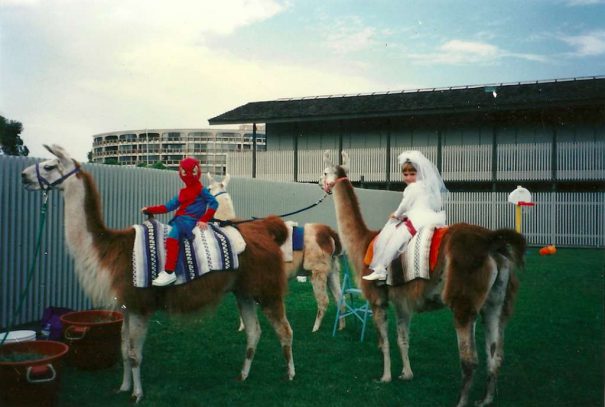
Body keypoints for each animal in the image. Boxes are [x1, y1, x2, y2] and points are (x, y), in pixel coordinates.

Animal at [21, 145, 295, 403]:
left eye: (49, 166)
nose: (23, 176)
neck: (109, 248)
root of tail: (264, 228)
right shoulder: (126, 306)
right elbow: (123, 348)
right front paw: (123, 387)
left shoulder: (140, 305)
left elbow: (134, 354)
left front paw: (137, 394)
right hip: (244, 291)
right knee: (254, 331)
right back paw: (243, 375)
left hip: (267, 288)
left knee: (284, 329)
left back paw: (290, 374)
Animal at [205, 173, 344, 332]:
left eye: (208, 188)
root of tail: (327, 231)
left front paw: (243, 327)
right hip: (332, 271)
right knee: (340, 298)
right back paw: (341, 327)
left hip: (317, 270)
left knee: (324, 301)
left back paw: (315, 329)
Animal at [319, 150, 525, 407]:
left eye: (324, 172)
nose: (320, 183)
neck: (363, 242)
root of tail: (491, 243)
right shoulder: (402, 301)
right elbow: (402, 338)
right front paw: (406, 374)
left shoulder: (378, 299)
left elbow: (383, 341)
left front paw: (385, 377)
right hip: (496, 302)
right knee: (495, 355)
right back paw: (485, 399)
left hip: (464, 302)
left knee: (470, 360)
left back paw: (461, 401)